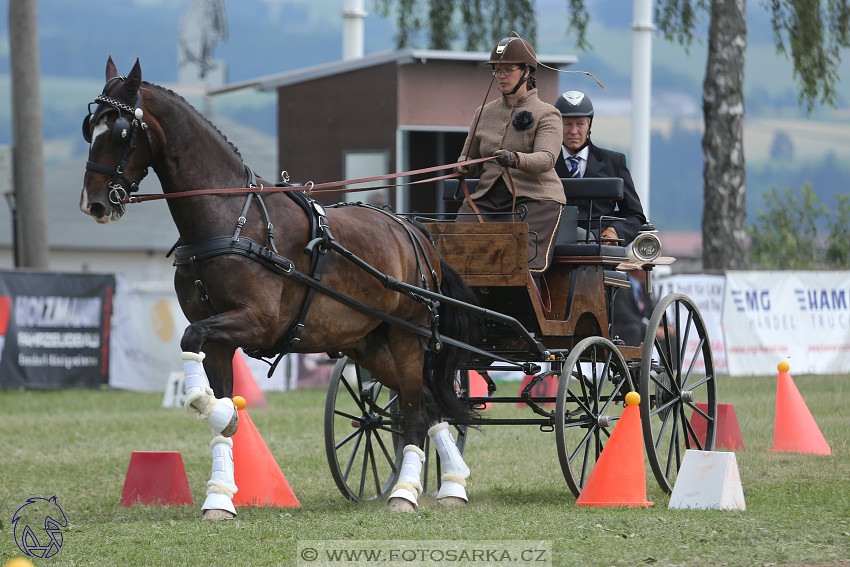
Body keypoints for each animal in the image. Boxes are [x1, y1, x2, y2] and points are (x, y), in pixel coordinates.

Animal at [81, 57, 476, 520]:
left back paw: (405, 493)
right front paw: (220, 487)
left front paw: (207, 406)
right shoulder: (219, 338)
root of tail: (413, 230)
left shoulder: (257, 322)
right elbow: (218, 412)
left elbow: (190, 339)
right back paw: (452, 483)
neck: (231, 219)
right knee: (428, 407)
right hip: (371, 346)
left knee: (414, 413)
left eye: (121, 132)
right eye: (90, 127)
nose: (93, 203)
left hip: (405, 337)